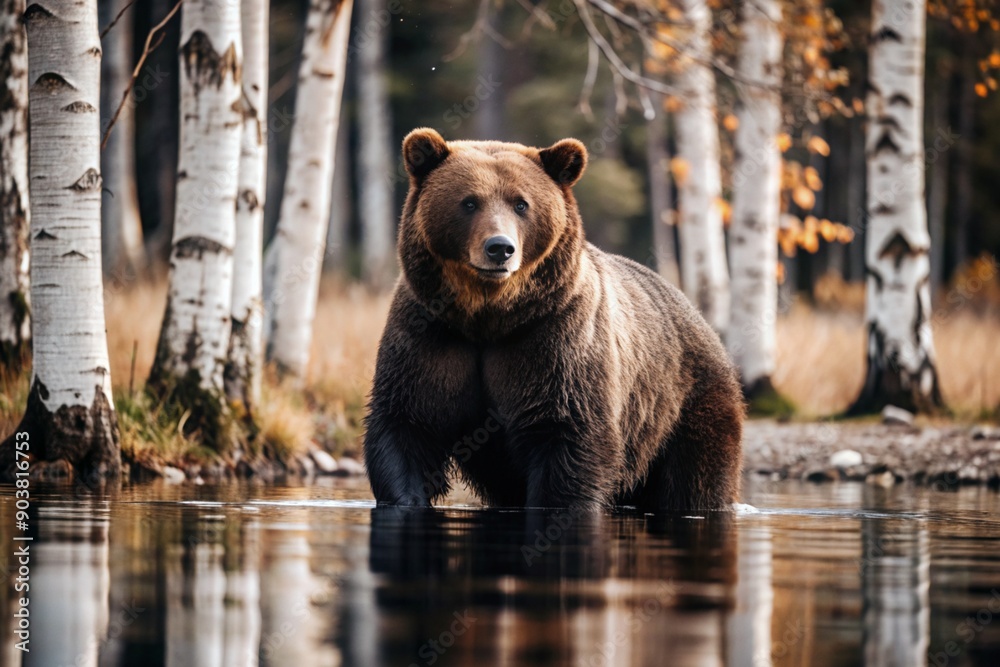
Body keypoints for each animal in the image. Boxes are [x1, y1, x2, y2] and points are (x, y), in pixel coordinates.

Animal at [363, 128, 743, 512]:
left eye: (521, 203)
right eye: (469, 202)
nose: (499, 248)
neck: (488, 316)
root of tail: (698, 317)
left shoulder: (556, 338)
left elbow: (568, 433)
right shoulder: (431, 334)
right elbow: (407, 423)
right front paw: (406, 498)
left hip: (686, 405)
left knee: (695, 478)